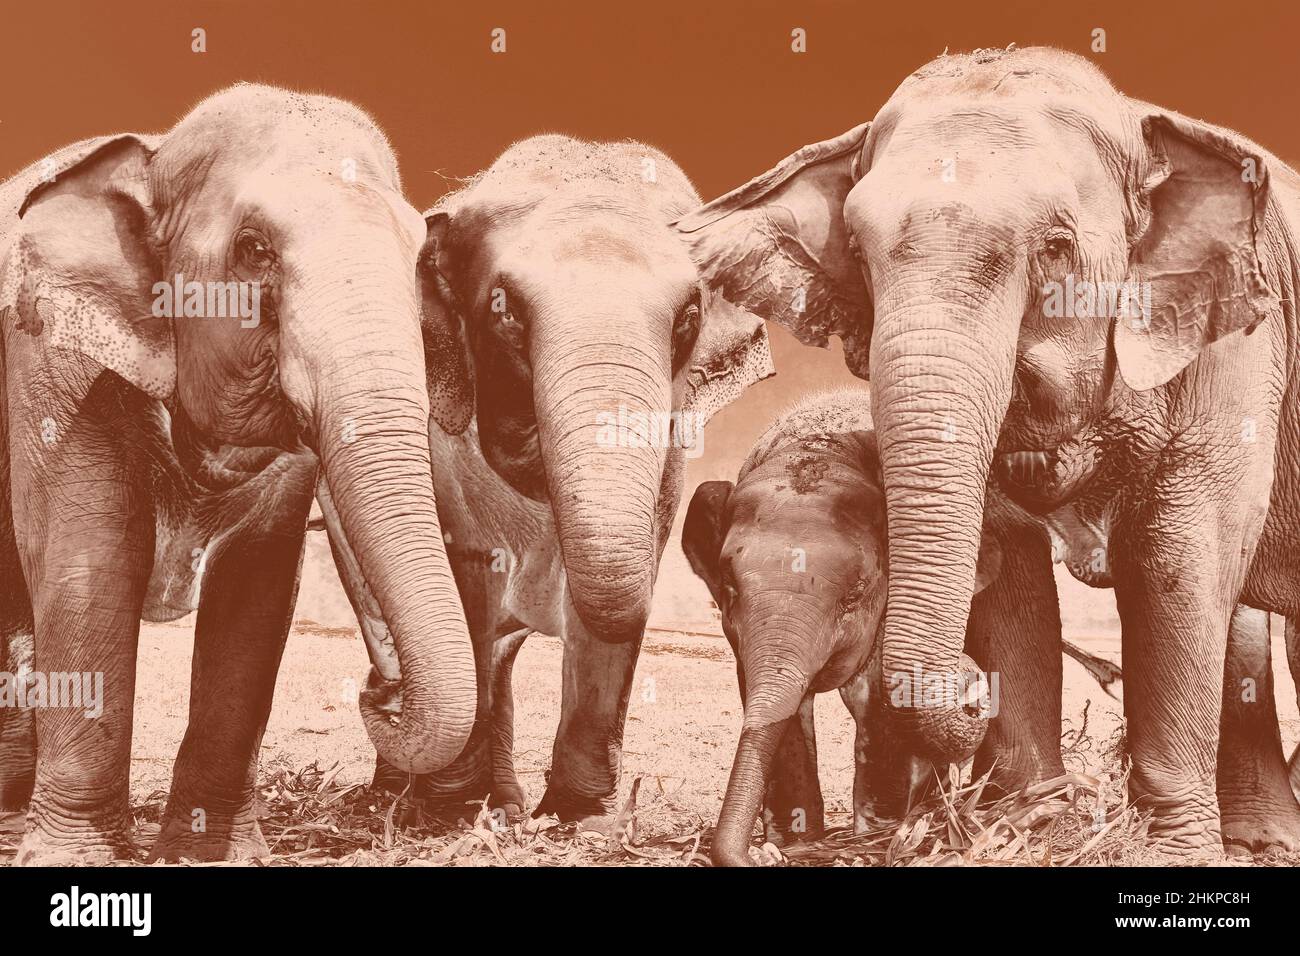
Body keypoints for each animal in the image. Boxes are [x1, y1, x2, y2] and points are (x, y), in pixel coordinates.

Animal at [0, 84, 480, 863]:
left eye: (418, 260)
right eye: (254, 250)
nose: (380, 693)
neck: (155, 155)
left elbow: (256, 589)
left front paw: (213, 851)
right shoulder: (54, 360)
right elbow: (90, 564)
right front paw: (72, 856)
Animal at [324, 134, 773, 827]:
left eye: (689, 315)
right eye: (503, 310)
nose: (380, 691)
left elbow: (620, 588)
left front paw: (577, 815)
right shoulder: (437, 436)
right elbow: (465, 576)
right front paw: (452, 811)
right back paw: (410, 795)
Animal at [676, 45, 1300, 853]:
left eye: (1056, 249)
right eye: (857, 252)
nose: (973, 694)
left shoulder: (1239, 336)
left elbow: (1181, 551)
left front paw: (1170, 852)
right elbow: (1009, 554)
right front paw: (1031, 822)